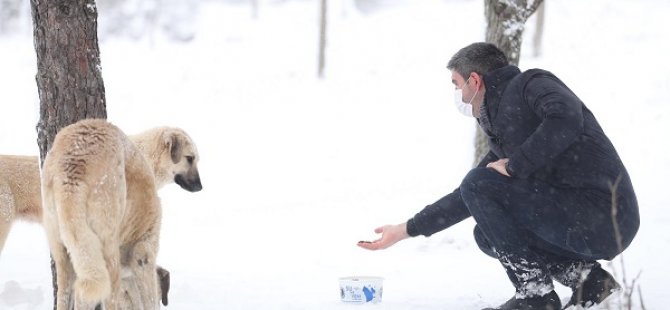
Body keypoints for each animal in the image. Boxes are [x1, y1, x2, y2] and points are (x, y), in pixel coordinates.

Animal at [39, 119, 201, 310]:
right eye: (189, 158)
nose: (200, 187)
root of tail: (71, 168)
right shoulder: (144, 252)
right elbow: (150, 299)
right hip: (108, 253)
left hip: (64, 254)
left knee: (66, 297)